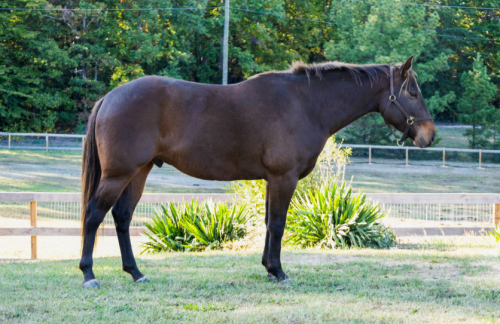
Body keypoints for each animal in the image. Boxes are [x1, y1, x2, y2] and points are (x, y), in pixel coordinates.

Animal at [78, 56, 434, 288]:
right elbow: (277, 224)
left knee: (122, 217)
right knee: (94, 216)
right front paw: (279, 272)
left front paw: (268, 268)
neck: (306, 104)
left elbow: (267, 224)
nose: (429, 136)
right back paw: (89, 275)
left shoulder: (271, 180)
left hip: (138, 172)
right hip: (118, 175)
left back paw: (136, 273)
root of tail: (110, 97)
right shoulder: (283, 178)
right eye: (412, 92)